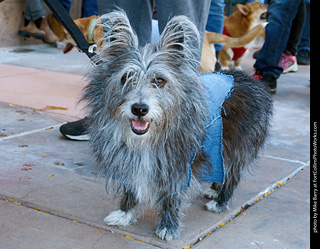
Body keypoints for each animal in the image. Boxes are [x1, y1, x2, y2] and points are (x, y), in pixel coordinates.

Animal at [82, 10, 272, 240]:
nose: (139, 109)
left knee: (233, 176)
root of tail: (253, 81)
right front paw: (124, 213)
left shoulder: (178, 164)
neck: (147, 139)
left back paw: (220, 201)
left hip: (237, 147)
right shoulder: (129, 159)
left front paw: (168, 225)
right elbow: (131, 187)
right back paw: (215, 189)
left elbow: (172, 196)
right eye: (126, 77)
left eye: (160, 80)